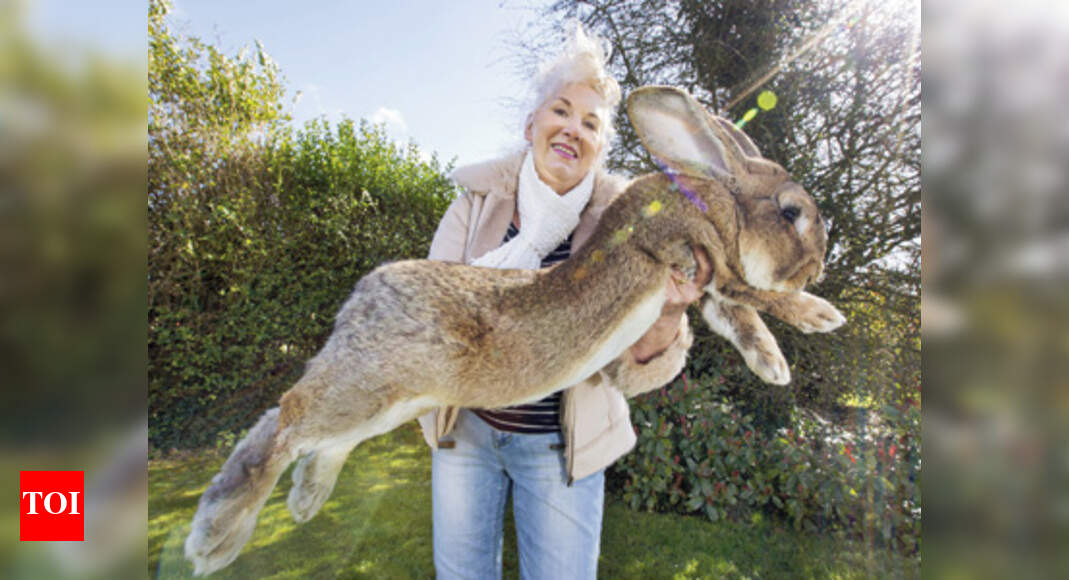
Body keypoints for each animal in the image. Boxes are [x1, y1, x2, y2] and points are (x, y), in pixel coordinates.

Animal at [188, 86, 846, 576]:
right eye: (791, 212)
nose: (819, 264)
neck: (715, 198)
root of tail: (361, 300)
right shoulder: (697, 255)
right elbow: (754, 294)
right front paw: (820, 315)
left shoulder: (704, 285)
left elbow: (738, 317)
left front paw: (773, 365)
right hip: (372, 384)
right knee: (290, 417)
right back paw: (217, 536)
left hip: (390, 400)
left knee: (309, 433)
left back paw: (299, 501)